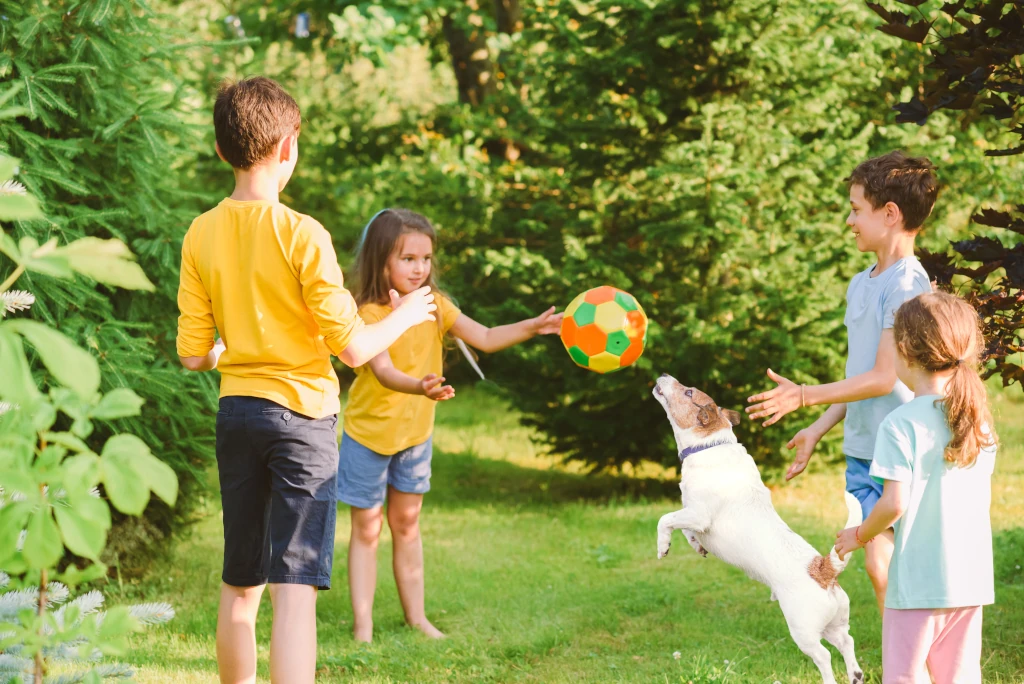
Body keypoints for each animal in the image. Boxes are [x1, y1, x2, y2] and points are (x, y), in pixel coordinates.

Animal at [655, 374, 864, 684]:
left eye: (688, 391)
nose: (665, 376)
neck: (711, 444)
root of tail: (823, 568)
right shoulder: (691, 514)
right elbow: (684, 529)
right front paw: (696, 546)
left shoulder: (698, 513)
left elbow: (665, 519)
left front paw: (662, 546)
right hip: (833, 624)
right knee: (847, 643)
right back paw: (856, 675)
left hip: (803, 630)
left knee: (824, 656)